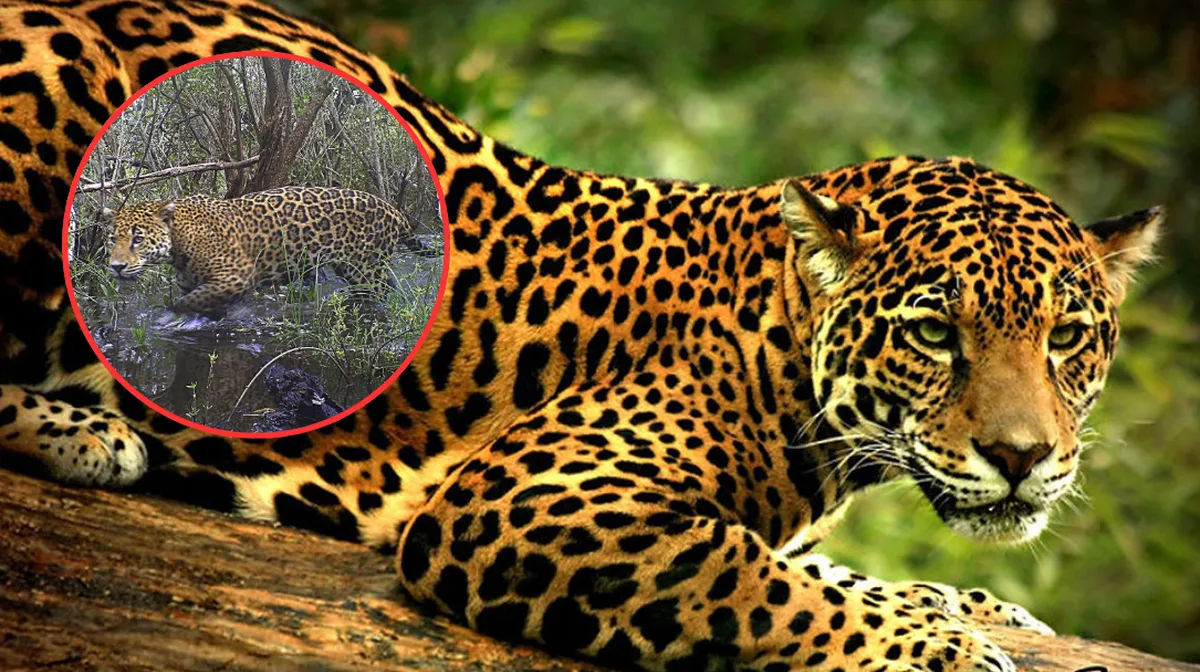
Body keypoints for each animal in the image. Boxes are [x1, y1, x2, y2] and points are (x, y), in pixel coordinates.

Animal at [100, 185, 427, 313]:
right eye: (112, 239)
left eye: (138, 239)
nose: (115, 267)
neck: (180, 241)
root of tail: (392, 209)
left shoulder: (236, 277)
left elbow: (187, 304)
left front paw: (169, 316)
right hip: (351, 268)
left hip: (365, 268)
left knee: (382, 290)